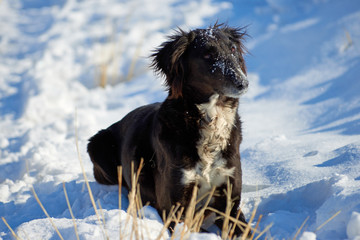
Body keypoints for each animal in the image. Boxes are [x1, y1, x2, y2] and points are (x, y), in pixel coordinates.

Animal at [88, 24, 249, 236]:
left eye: (232, 49)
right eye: (207, 55)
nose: (243, 82)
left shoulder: (230, 199)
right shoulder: (173, 209)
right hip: (97, 146)